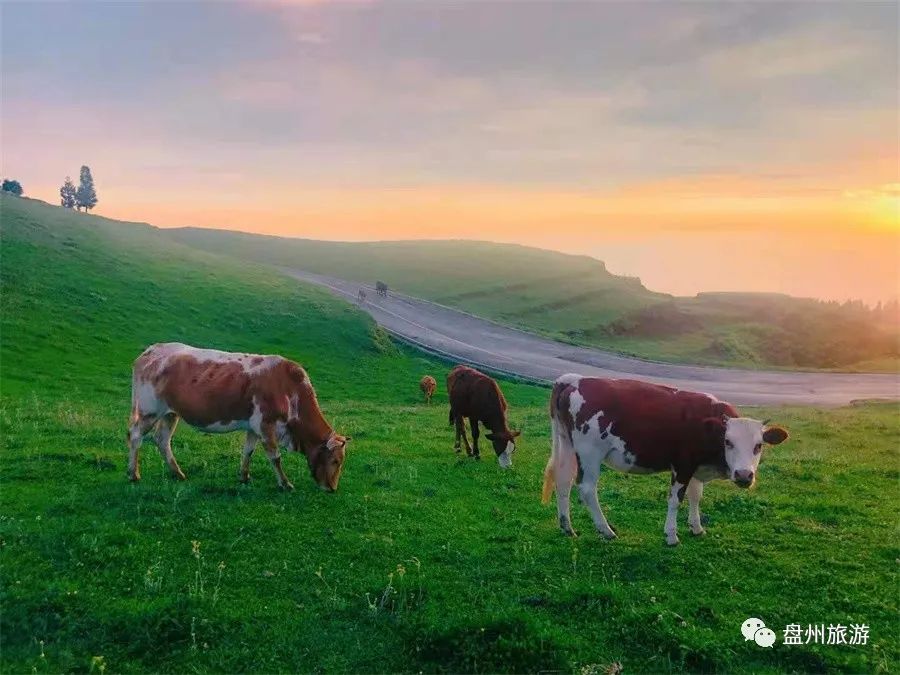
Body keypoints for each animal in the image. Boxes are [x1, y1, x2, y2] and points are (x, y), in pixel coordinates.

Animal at [127, 344, 352, 492]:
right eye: (335, 460)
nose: (332, 488)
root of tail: (151, 350)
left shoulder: (253, 426)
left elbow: (248, 451)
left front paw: (244, 477)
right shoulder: (265, 423)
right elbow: (275, 456)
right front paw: (285, 483)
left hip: (170, 413)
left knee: (162, 440)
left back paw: (178, 474)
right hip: (149, 410)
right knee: (135, 435)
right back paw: (133, 474)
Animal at [540, 372, 788, 548]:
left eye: (759, 446)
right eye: (728, 442)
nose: (744, 476)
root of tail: (575, 380)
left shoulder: (696, 466)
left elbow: (696, 496)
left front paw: (696, 528)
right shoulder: (683, 465)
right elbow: (675, 499)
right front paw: (671, 535)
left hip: (567, 445)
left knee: (563, 481)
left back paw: (566, 527)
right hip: (590, 453)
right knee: (587, 489)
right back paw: (606, 530)